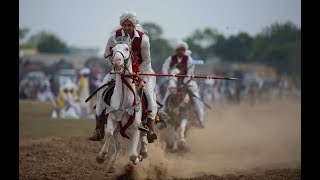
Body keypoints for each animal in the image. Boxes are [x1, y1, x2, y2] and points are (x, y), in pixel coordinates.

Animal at [95, 36, 149, 173]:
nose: (117, 62)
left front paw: (138, 158)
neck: (124, 101)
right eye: (113, 50)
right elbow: (108, 132)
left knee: (144, 136)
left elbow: (133, 155)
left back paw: (144, 152)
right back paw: (112, 165)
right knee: (118, 147)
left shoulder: (135, 128)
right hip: (118, 130)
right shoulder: (113, 119)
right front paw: (101, 157)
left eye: (126, 49)